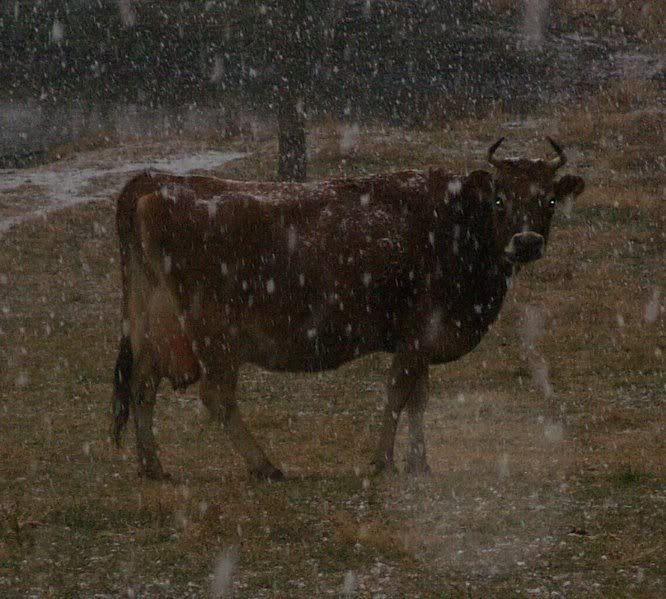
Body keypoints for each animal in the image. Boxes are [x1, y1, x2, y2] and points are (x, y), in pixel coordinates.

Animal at [111, 137, 585, 481]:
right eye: (501, 199)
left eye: (549, 200)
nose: (527, 242)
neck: (455, 221)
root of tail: (155, 181)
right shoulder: (417, 333)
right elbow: (398, 393)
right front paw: (383, 462)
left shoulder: (419, 341)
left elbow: (419, 398)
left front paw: (419, 464)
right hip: (213, 334)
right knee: (216, 395)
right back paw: (265, 466)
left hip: (153, 326)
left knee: (142, 385)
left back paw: (153, 467)